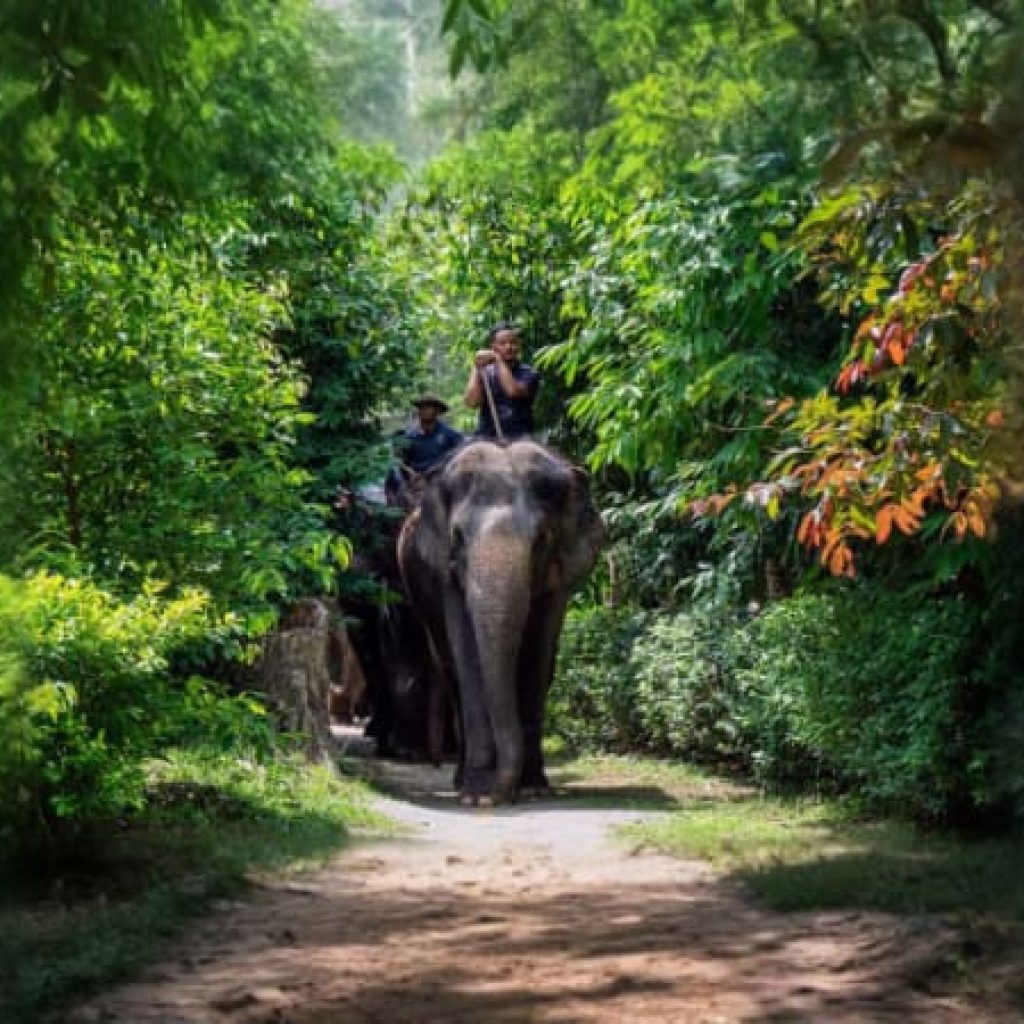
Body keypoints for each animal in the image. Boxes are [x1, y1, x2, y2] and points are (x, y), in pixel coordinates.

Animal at [397, 439, 604, 805]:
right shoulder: (446, 573)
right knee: (452, 671)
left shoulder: (559, 577)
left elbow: (538, 656)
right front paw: (478, 796)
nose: (498, 795)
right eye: (458, 538)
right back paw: (461, 782)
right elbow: (467, 654)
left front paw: (532, 789)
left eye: (540, 540)